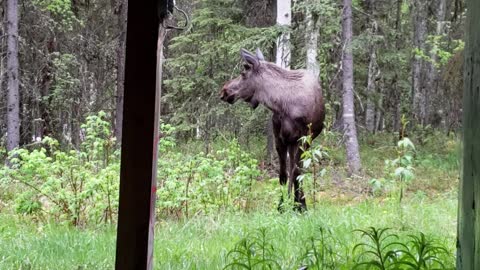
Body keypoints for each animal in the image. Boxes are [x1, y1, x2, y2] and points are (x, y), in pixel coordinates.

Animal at [219, 47, 324, 210]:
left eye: (243, 73)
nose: (224, 91)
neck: (281, 105)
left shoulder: (304, 138)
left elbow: (295, 173)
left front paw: (298, 205)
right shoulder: (279, 139)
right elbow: (283, 175)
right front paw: (282, 205)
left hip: (301, 141)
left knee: (297, 170)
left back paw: (299, 202)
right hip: (291, 142)